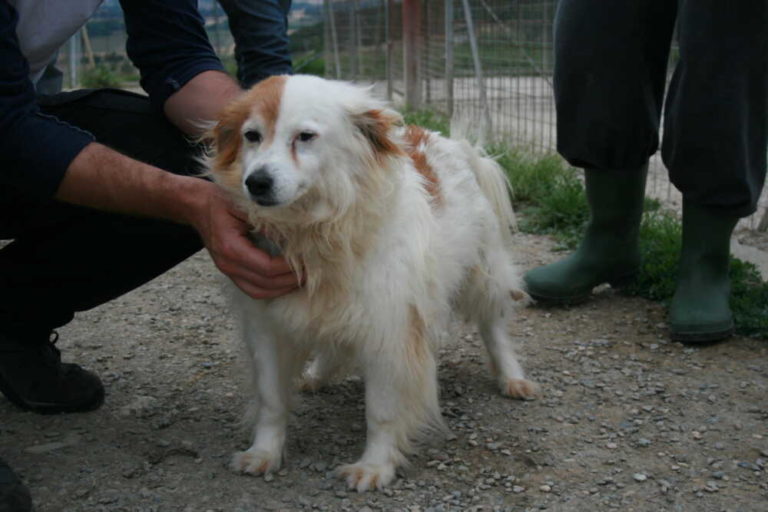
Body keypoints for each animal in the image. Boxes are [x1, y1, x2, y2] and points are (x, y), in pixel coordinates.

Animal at [207, 75, 536, 492]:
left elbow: (381, 409)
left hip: (483, 272)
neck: (315, 232)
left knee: (494, 326)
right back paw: (318, 374)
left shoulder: (389, 329)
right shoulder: (265, 324)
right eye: (251, 135)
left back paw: (512, 377)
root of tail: (455, 143)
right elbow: (270, 400)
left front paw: (374, 466)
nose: (257, 182)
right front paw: (264, 453)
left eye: (305, 136)